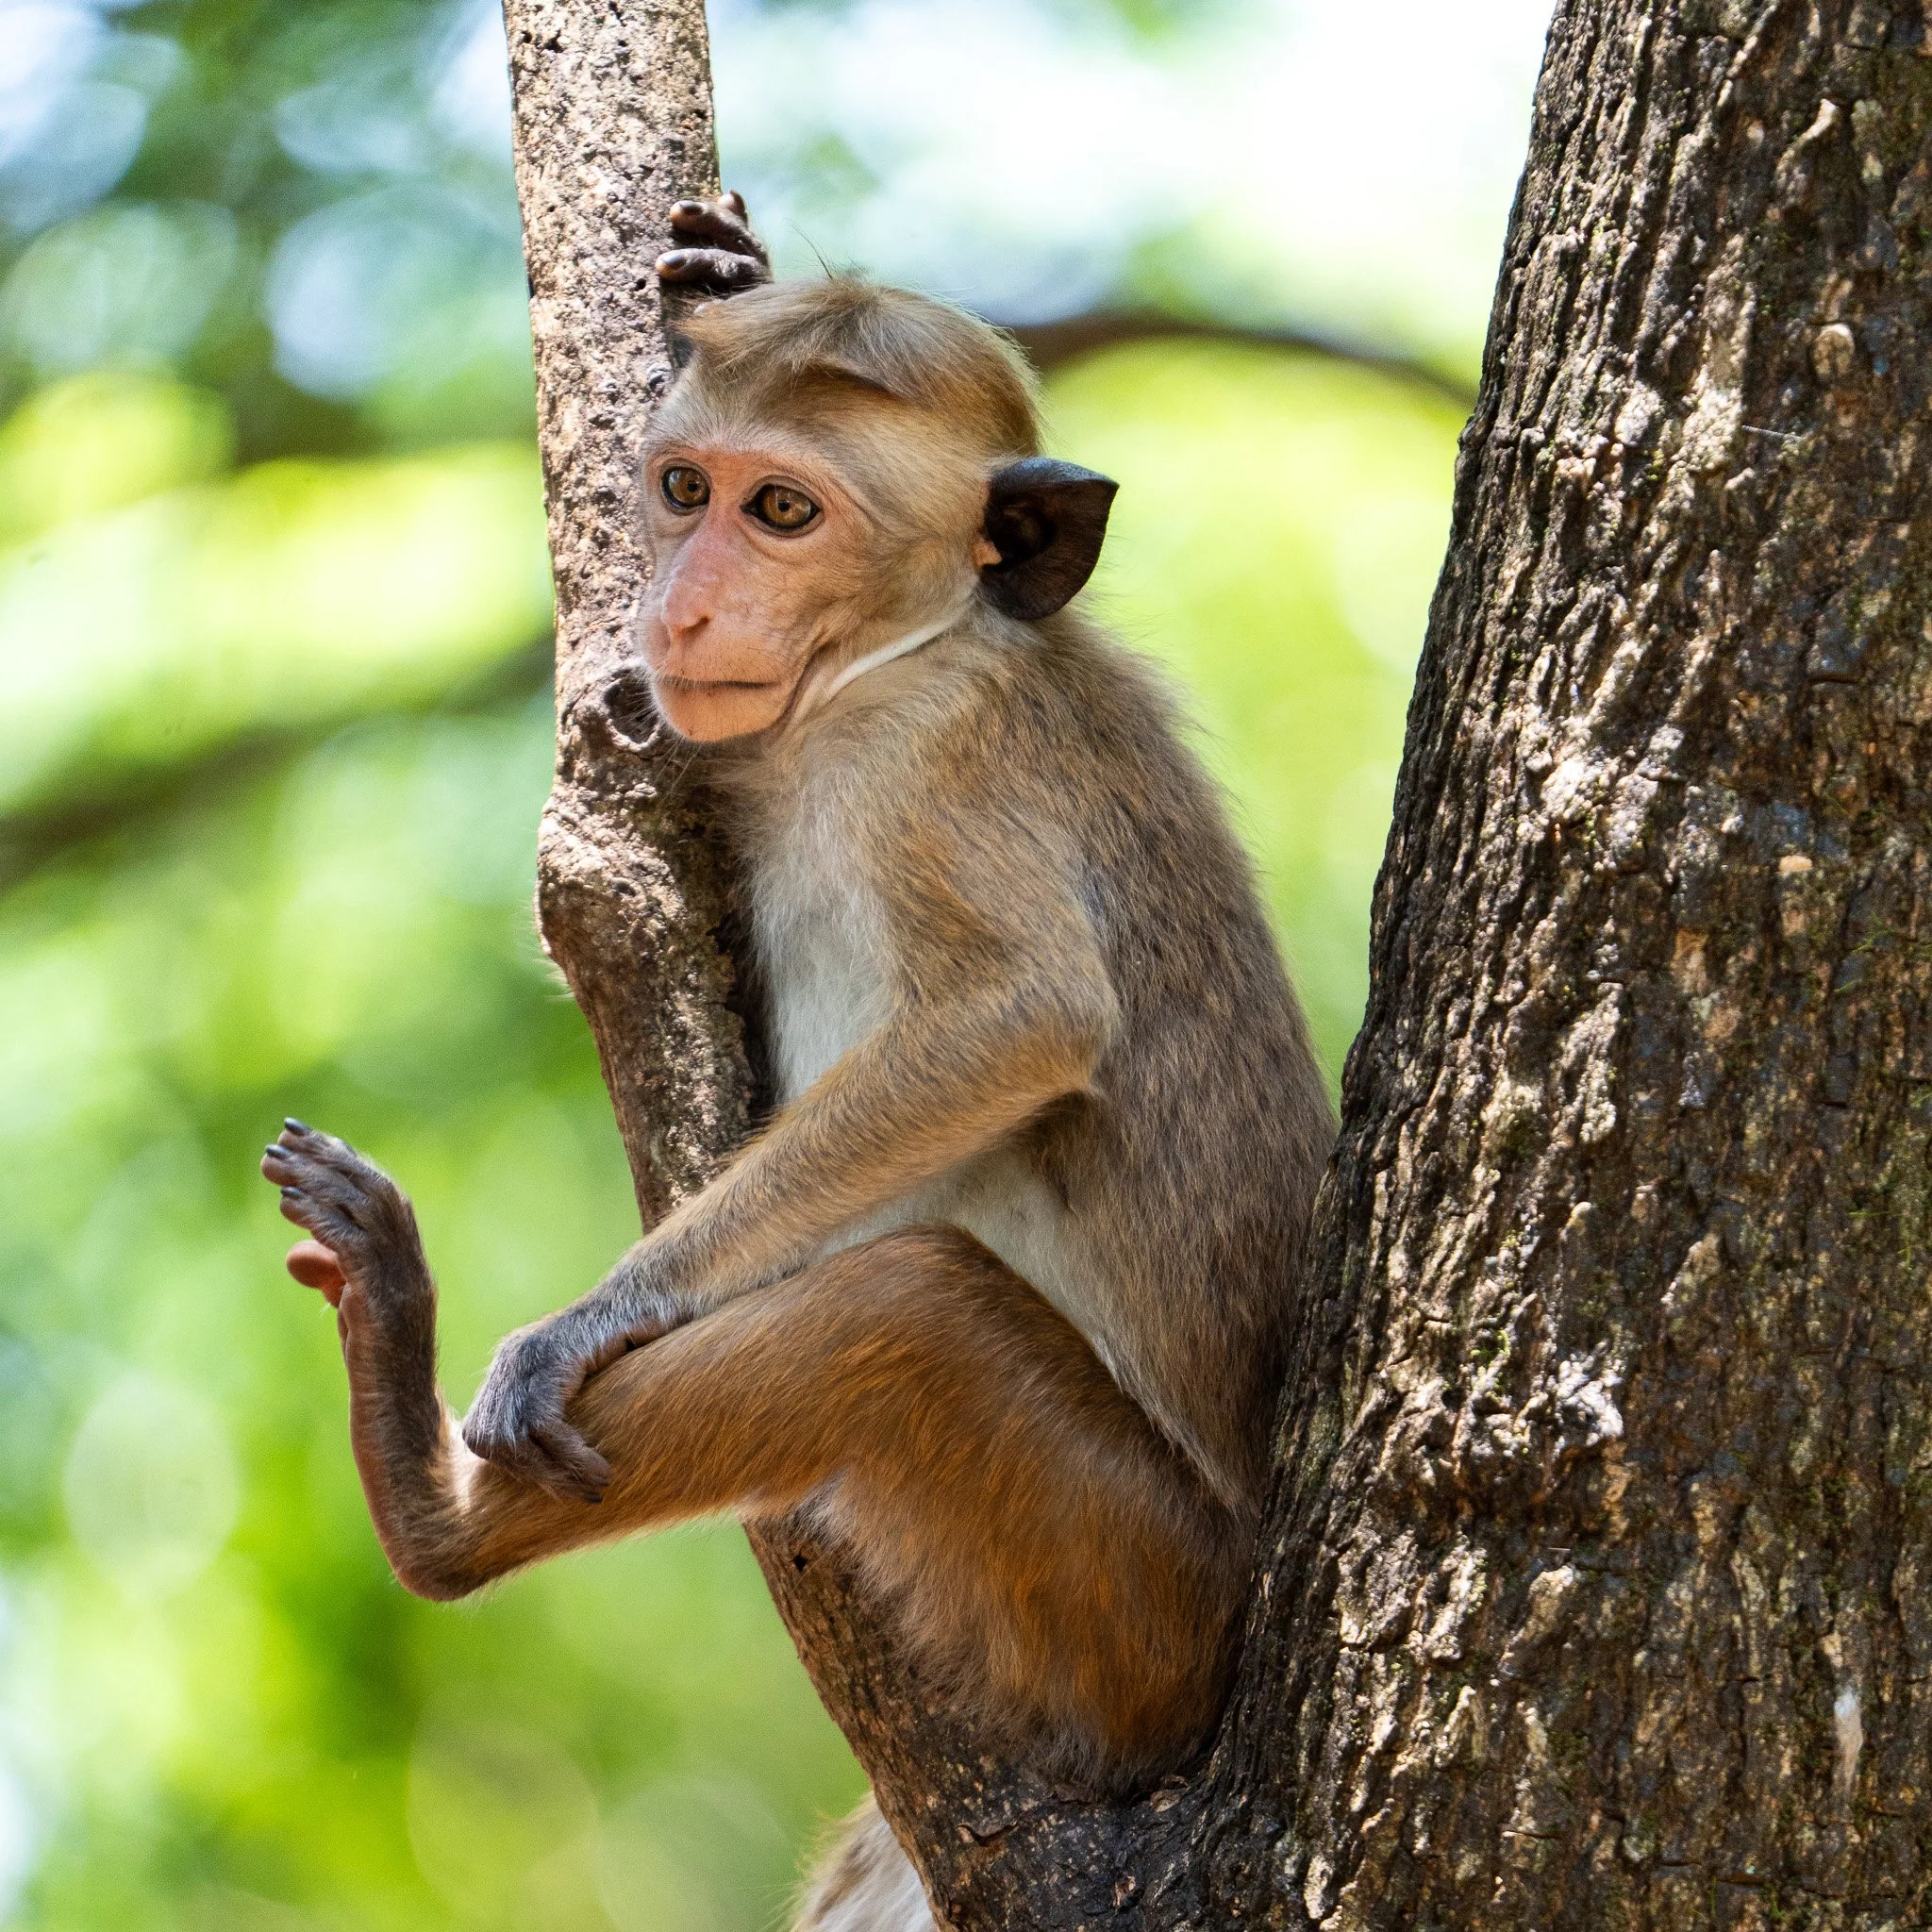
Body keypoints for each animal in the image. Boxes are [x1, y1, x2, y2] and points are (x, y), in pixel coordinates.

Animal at [261, 197, 1335, 1932]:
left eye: (784, 511)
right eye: (686, 491)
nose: (682, 611)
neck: (896, 657)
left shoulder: (932, 768)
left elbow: (1018, 1016)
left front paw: (602, 1310)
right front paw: (718, 269)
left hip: (1144, 1602)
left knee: (906, 1314)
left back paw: (430, 1509)